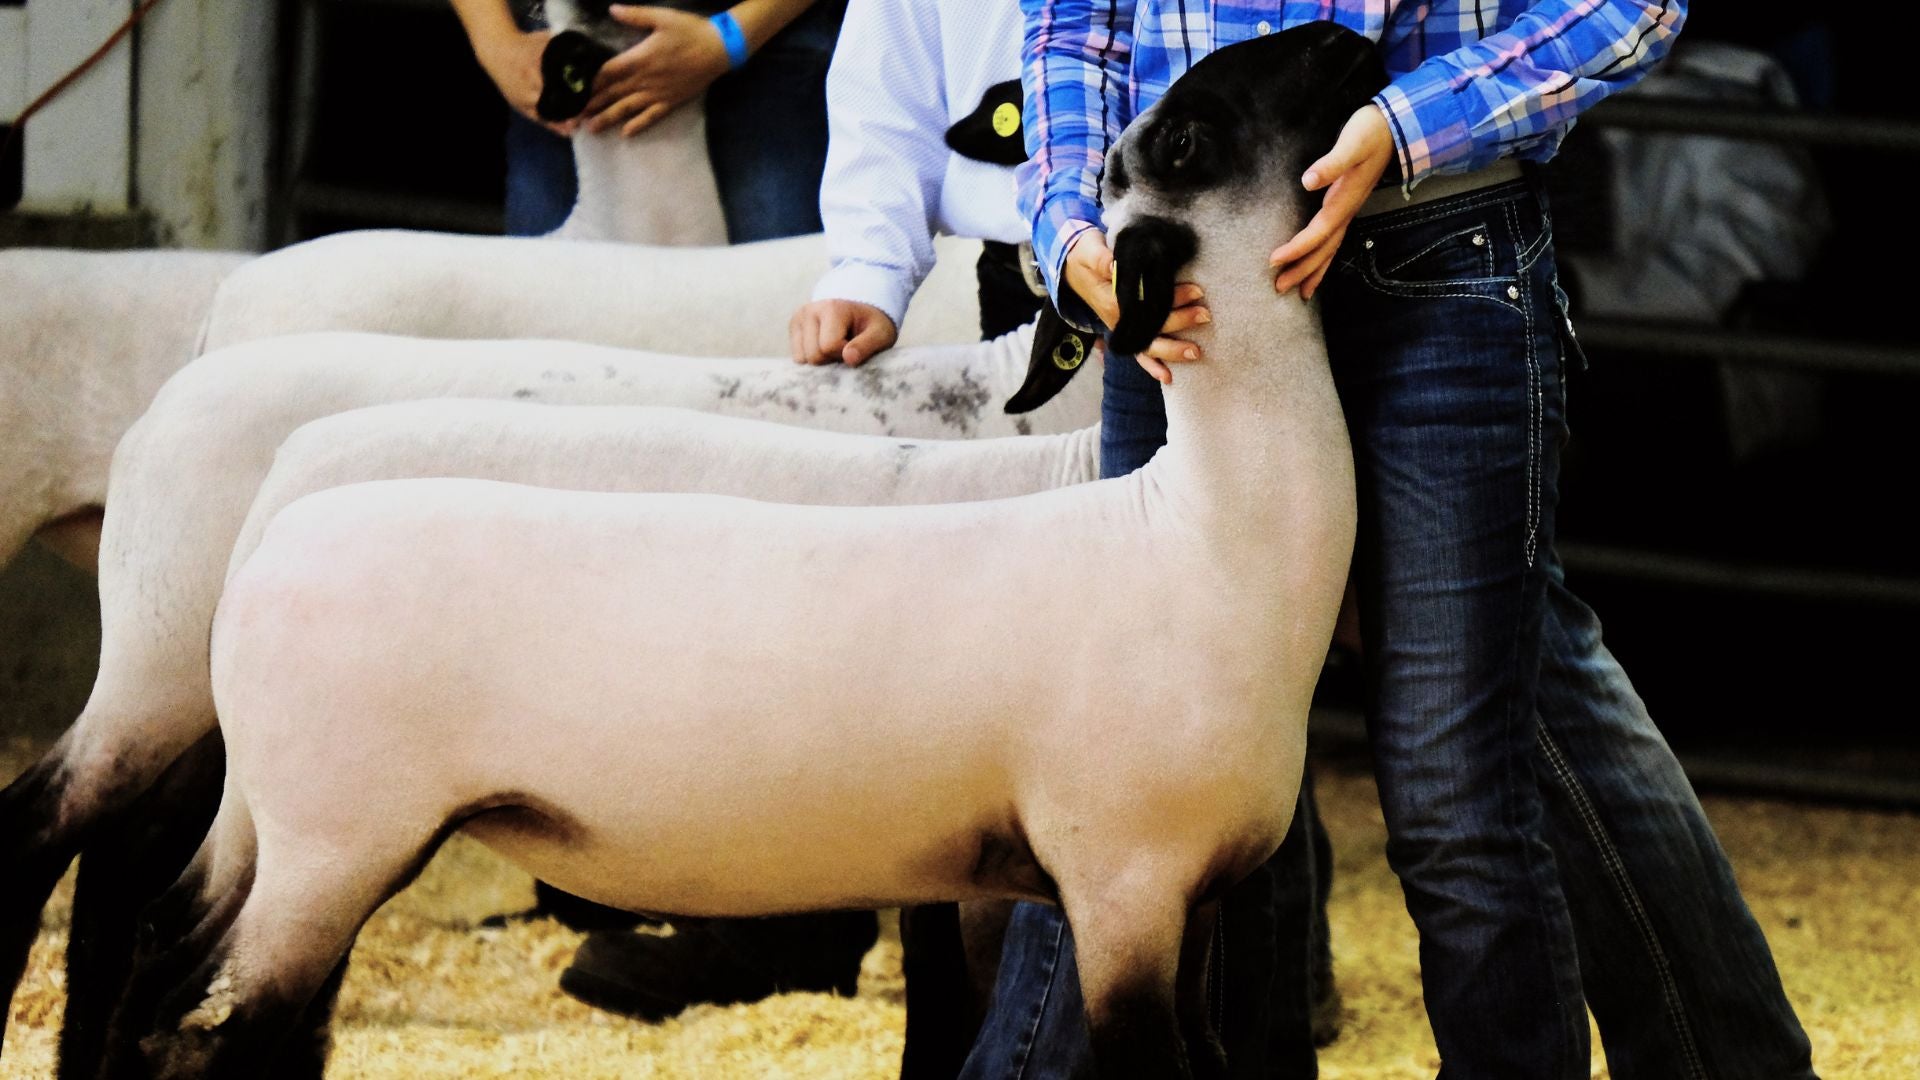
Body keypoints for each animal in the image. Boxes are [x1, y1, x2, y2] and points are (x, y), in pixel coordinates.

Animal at [102, 26, 1382, 1078]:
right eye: (1187, 135)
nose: (1345, 39)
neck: (1202, 539)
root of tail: (272, 543)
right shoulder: (1120, 882)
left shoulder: (1162, 894)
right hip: (335, 833)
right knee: (211, 1026)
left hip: (271, 821)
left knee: (164, 965)